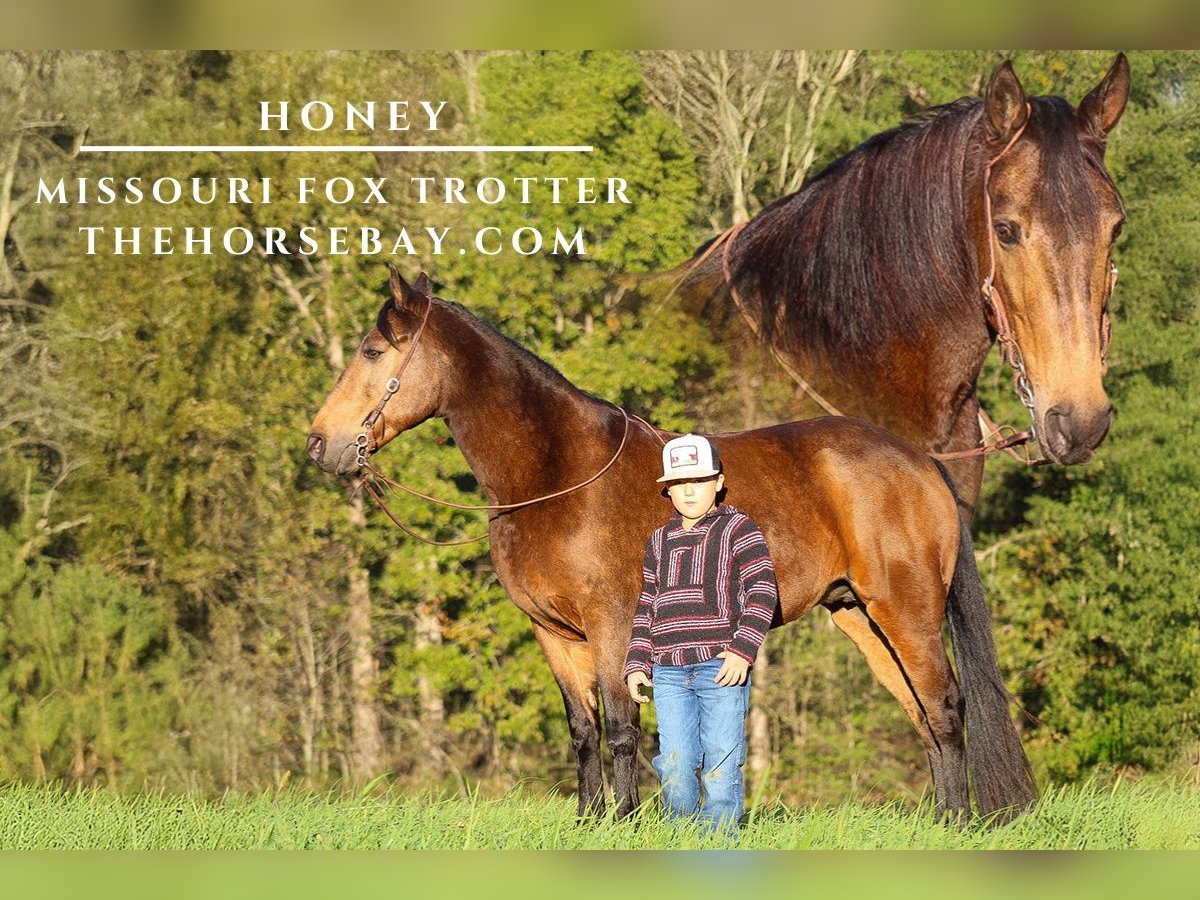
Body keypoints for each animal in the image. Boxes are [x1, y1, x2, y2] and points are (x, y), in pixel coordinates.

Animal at [306, 265, 1037, 823]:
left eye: (372, 352)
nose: (319, 444)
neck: (556, 474)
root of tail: (919, 462)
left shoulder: (612, 624)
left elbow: (624, 729)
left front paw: (624, 822)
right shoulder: (555, 634)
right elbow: (583, 733)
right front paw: (588, 820)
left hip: (906, 610)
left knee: (945, 707)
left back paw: (959, 822)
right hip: (859, 615)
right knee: (921, 714)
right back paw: (939, 819)